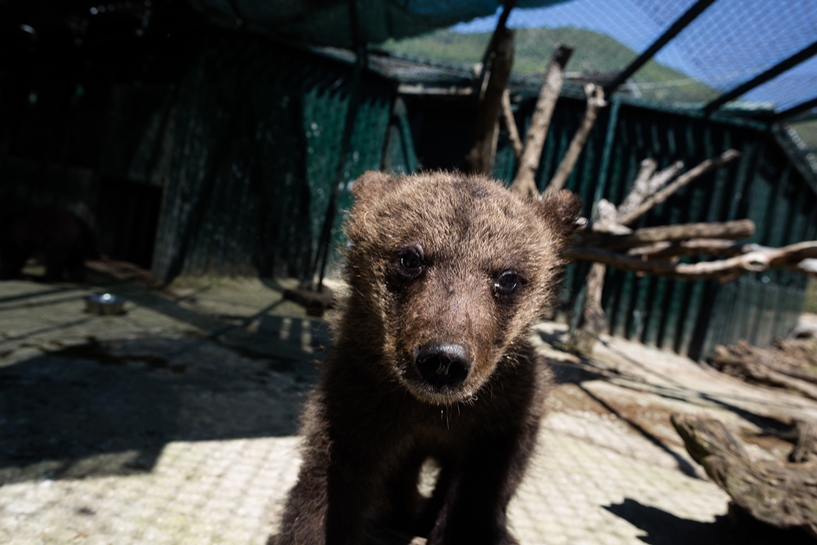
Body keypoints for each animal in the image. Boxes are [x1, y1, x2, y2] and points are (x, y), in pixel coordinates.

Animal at [280, 171, 580, 544]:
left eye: (509, 277)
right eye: (410, 257)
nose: (444, 359)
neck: (433, 411)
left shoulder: (506, 409)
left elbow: (483, 488)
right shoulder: (359, 397)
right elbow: (330, 483)